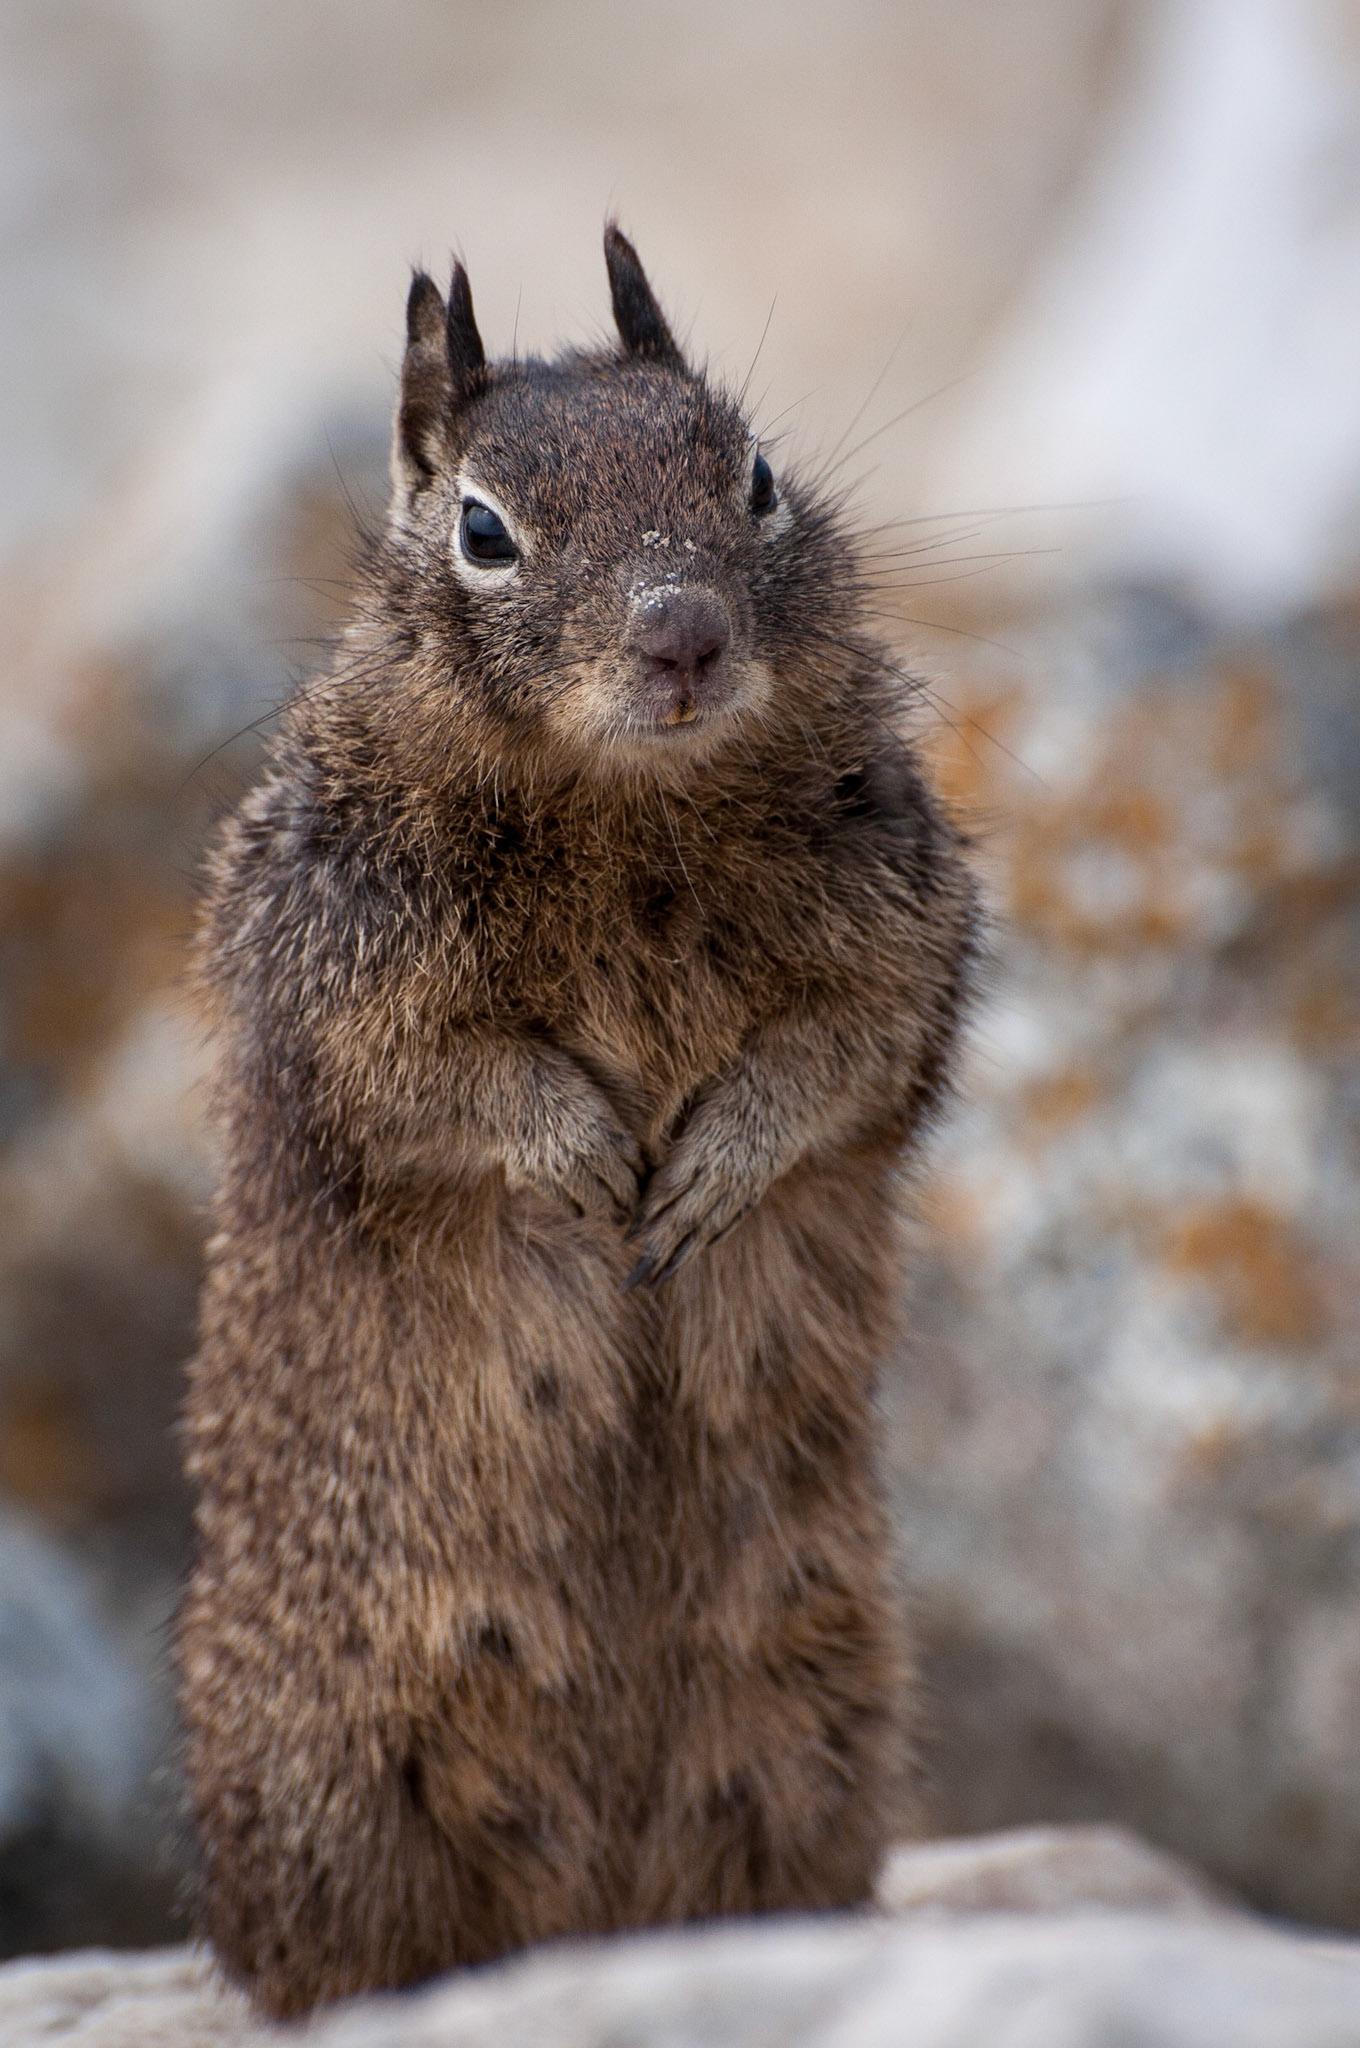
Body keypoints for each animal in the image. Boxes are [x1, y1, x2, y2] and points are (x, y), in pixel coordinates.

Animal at [175, 224, 979, 2019]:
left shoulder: (903, 930)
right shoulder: (352, 982)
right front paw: (590, 1162)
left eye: (753, 473)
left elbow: (847, 1054)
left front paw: (708, 1172)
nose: (683, 637)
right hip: (354, 1779)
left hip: (810, 1713)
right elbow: (448, 1087)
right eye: (484, 530)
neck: (637, 813)